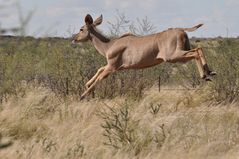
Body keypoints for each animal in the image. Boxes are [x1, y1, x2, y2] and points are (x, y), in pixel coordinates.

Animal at [72, 14, 216, 100]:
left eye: (81, 29)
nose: (74, 38)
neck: (108, 45)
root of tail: (182, 30)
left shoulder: (112, 67)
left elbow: (100, 77)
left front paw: (82, 95)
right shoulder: (114, 67)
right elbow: (99, 69)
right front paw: (86, 84)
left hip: (173, 57)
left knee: (196, 51)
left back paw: (205, 75)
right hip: (181, 52)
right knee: (198, 49)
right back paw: (209, 73)